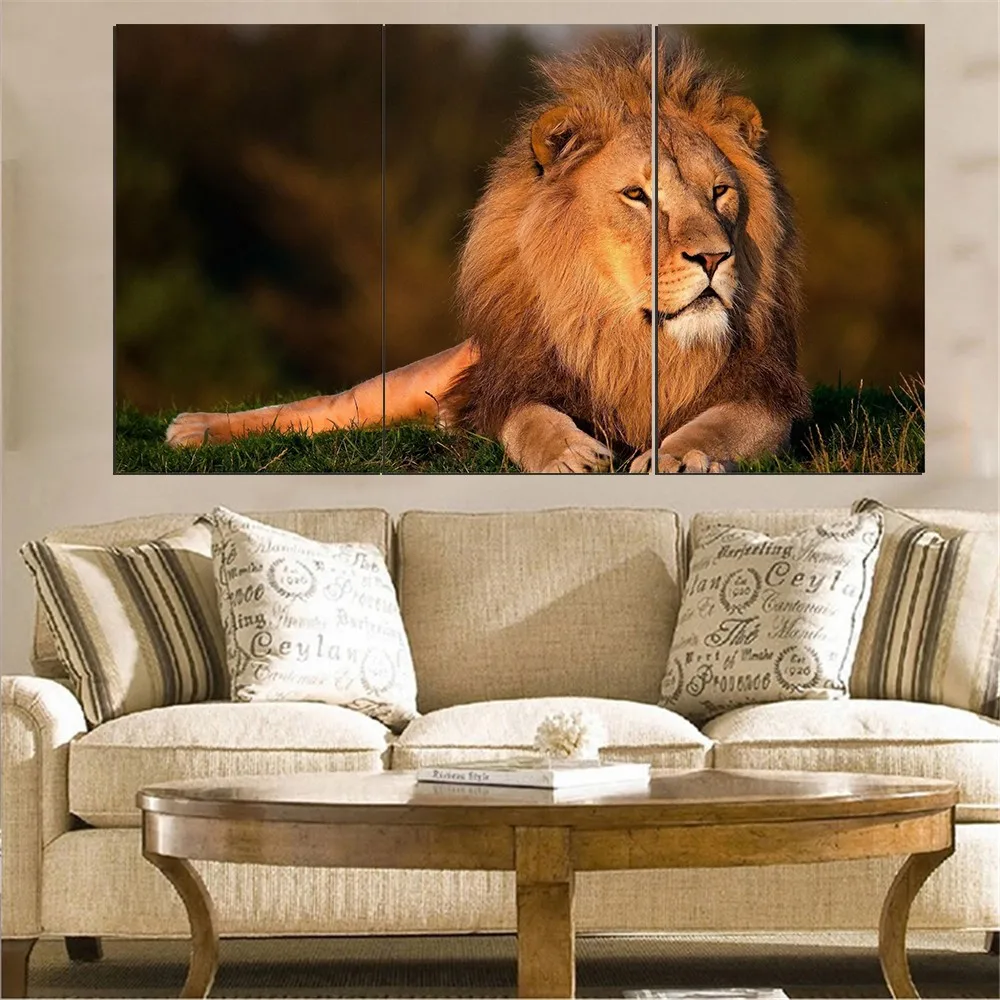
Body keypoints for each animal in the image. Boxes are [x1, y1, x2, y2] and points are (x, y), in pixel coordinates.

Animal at [166, 38, 810, 473]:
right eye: (638, 196)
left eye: (719, 192)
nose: (715, 258)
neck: (631, 342)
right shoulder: (512, 384)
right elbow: (530, 420)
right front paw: (570, 453)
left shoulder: (765, 393)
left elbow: (722, 425)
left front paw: (678, 456)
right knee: (323, 408)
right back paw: (192, 428)